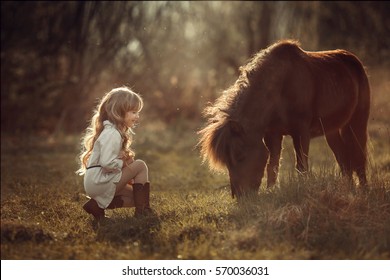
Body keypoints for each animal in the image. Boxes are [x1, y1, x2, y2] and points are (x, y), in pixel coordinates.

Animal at [198, 39, 372, 198]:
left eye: (240, 156)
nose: (241, 196)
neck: (281, 88)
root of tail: (354, 60)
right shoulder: (272, 134)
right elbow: (272, 166)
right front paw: (271, 191)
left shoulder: (301, 133)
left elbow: (301, 166)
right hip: (332, 130)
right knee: (343, 159)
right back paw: (348, 189)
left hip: (357, 122)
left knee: (359, 156)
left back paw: (363, 190)